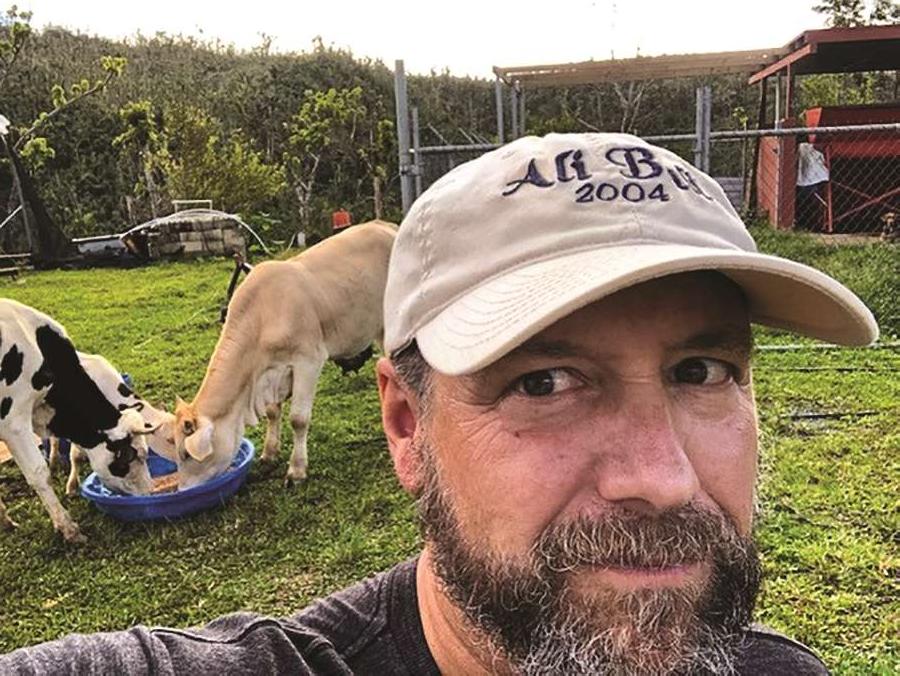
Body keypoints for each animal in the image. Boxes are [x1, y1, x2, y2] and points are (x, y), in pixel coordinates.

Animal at [0, 298, 159, 540]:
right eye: (132, 456)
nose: (149, 493)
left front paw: (4, 520)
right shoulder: (13, 421)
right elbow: (39, 473)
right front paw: (68, 528)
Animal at [176, 220, 398, 486]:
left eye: (187, 454)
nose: (180, 489)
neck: (262, 316)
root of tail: (383, 224)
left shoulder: (308, 361)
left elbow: (298, 419)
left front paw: (297, 470)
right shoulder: (273, 371)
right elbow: (273, 412)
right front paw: (269, 453)